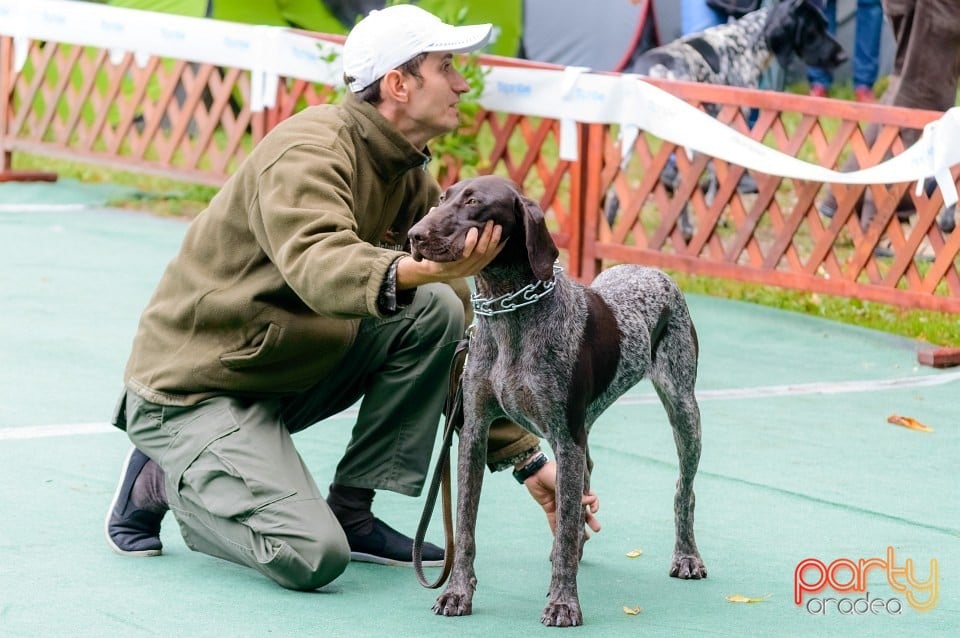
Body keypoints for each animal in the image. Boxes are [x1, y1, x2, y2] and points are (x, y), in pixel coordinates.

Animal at [404, 176, 704, 632]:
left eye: (474, 202)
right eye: (443, 197)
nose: (415, 235)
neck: (509, 314)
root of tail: (652, 272)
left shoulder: (565, 437)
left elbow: (562, 529)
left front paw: (564, 602)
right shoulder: (474, 433)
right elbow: (466, 529)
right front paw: (457, 593)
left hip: (683, 410)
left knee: (683, 490)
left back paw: (686, 555)